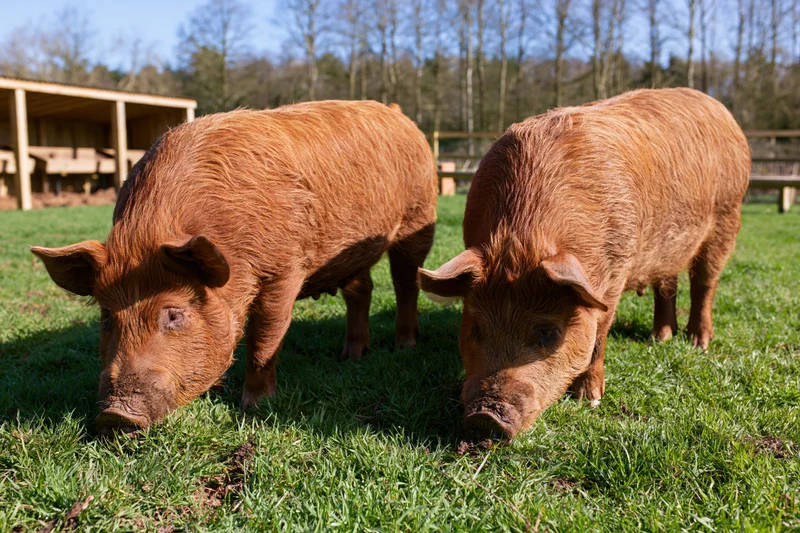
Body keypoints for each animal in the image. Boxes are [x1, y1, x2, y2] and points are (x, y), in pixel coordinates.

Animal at [31, 101, 438, 434]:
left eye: (174, 315)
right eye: (106, 319)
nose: (114, 416)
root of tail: (400, 115)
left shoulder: (284, 269)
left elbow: (264, 337)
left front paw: (253, 407)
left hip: (419, 218)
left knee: (405, 283)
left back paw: (404, 346)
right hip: (349, 253)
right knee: (361, 291)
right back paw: (350, 356)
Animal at [419, 88, 750, 442]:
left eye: (548, 332)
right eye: (476, 328)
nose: (485, 417)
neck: (525, 236)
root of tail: (721, 111)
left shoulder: (615, 273)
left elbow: (599, 336)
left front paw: (588, 400)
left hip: (727, 216)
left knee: (705, 283)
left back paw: (698, 344)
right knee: (667, 284)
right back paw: (659, 338)